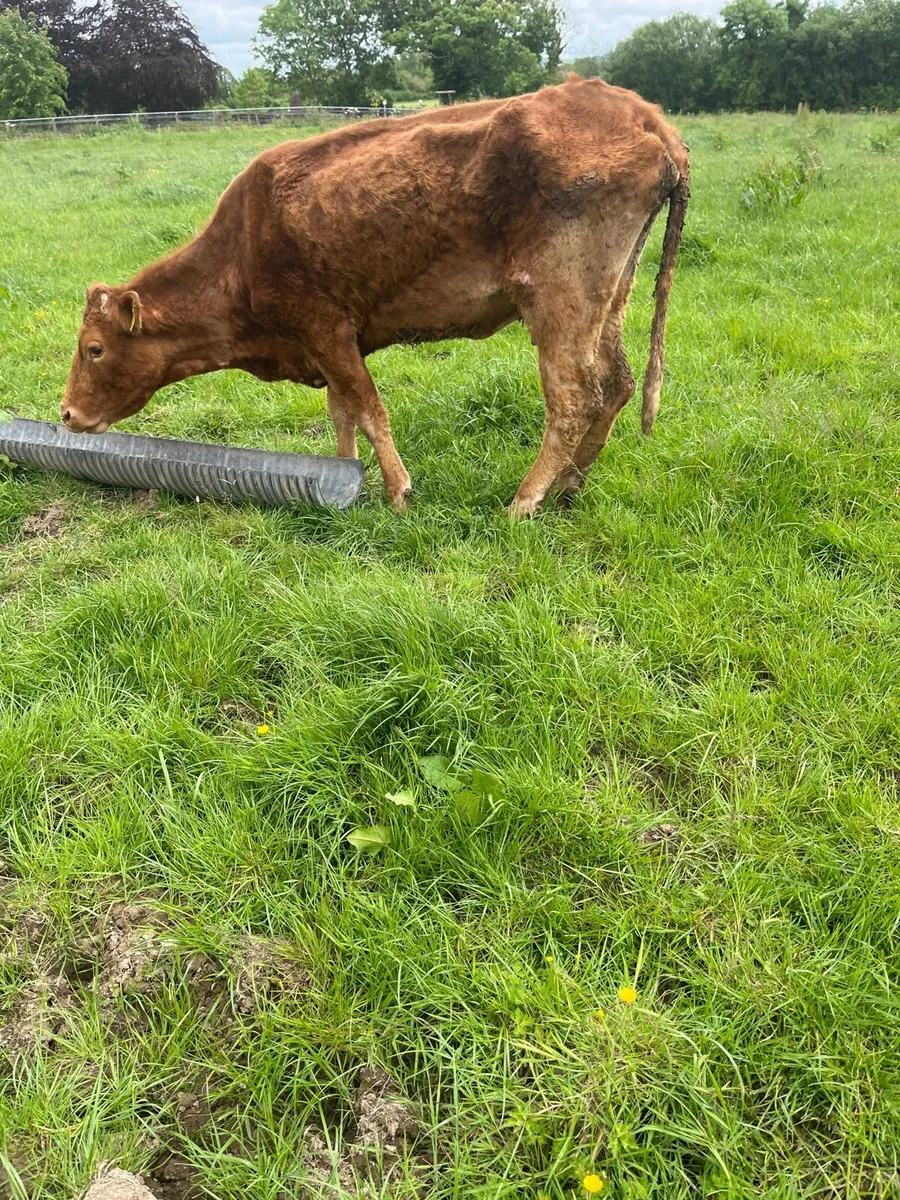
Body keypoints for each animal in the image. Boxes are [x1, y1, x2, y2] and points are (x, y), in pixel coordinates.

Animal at [62, 76, 689, 516]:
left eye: (94, 348)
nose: (66, 413)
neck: (241, 251)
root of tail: (638, 112)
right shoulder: (326, 346)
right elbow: (343, 413)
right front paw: (341, 477)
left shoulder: (327, 328)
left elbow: (369, 409)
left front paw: (398, 492)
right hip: (610, 296)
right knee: (617, 384)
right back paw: (568, 489)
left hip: (559, 300)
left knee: (574, 398)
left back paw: (524, 501)